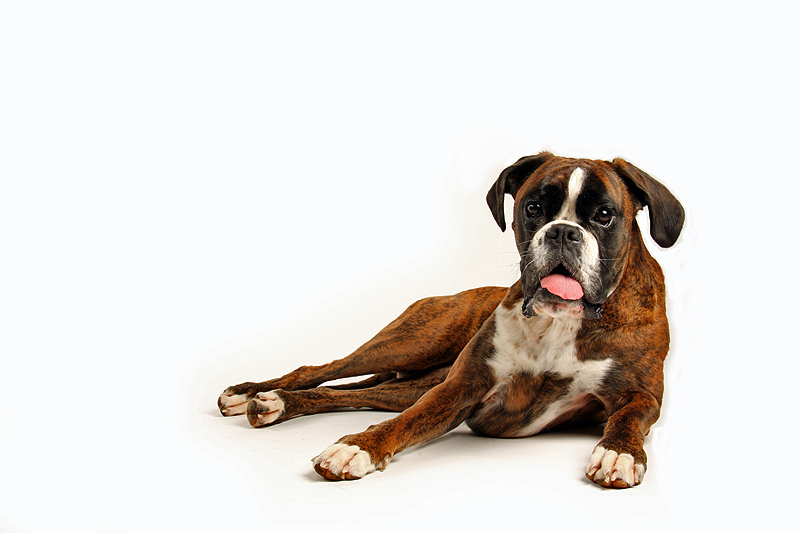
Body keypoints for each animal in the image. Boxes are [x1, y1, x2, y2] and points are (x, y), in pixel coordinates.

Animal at [217, 152, 680, 488]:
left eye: (604, 215)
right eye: (533, 208)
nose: (562, 231)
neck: (560, 322)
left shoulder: (641, 396)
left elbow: (627, 418)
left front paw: (619, 453)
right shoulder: (460, 387)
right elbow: (404, 423)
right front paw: (358, 447)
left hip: (413, 379)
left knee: (355, 393)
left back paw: (275, 402)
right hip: (413, 342)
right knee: (321, 369)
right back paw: (249, 393)